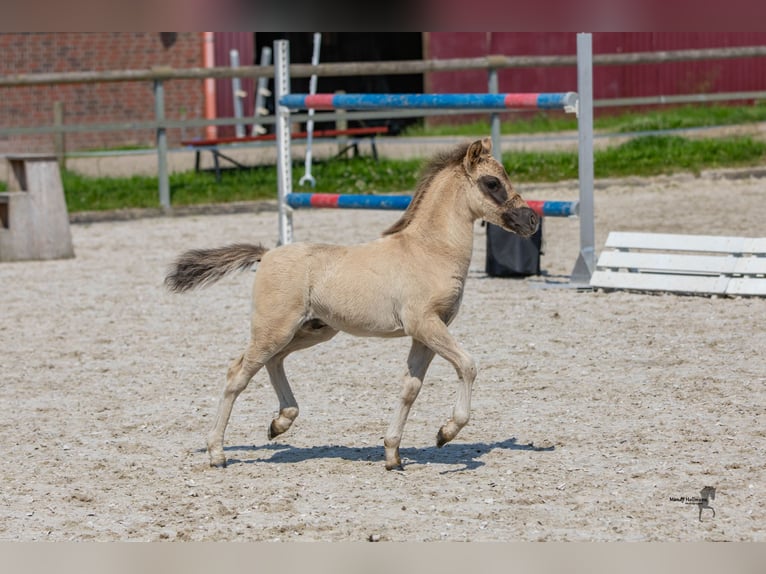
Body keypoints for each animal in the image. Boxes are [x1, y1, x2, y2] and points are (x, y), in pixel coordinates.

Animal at [166, 138, 540, 472]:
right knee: (238, 374)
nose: (532, 221)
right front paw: (445, 433)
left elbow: (410, 387)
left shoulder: (427, 332)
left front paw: (392, 455)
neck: (429, 251)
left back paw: (280, 422)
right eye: (492, 183)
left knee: (274, 361)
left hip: (311, 330)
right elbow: (468, 365)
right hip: (274, 329)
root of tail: (267, 253)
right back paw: (217, 453)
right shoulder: (425, 324)